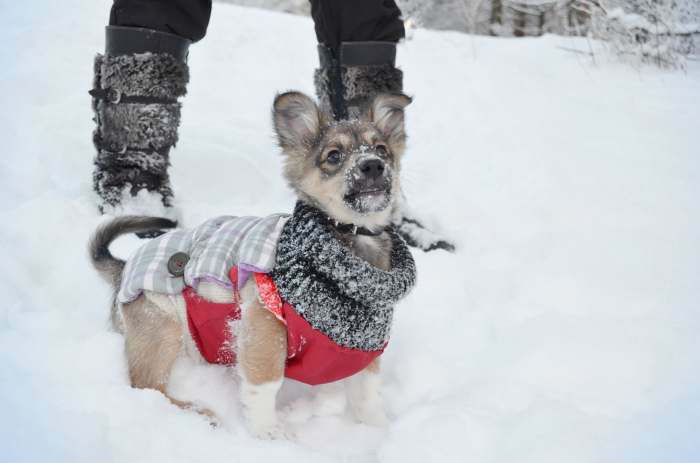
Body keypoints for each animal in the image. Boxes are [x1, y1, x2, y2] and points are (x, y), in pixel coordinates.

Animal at [90, 90, 412, 438]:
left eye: (381, 149)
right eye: (334, 156)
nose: (373, 165)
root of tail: (123, 268)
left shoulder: (364, 345)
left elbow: (366, 392)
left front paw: (378, 428)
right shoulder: (264, 322)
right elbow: (265, 381)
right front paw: (267, 432)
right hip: (163, 324)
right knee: (147, 386)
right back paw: (198, 413)